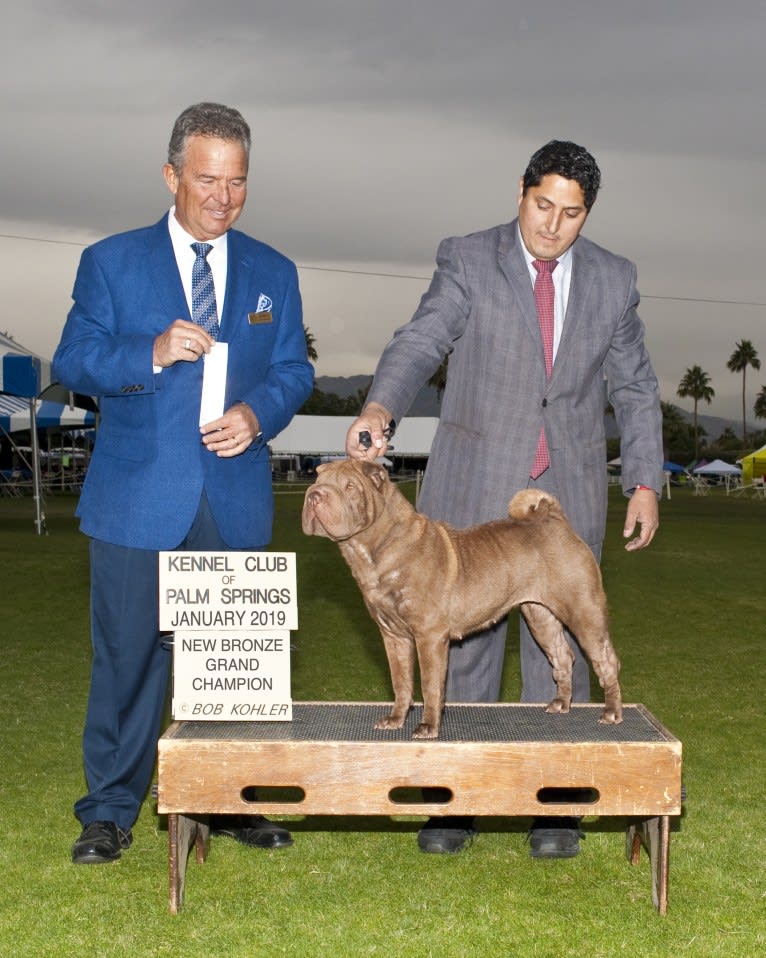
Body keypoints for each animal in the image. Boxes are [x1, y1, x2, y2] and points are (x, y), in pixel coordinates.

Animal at [302, 462, 624, 740]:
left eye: (350, 486)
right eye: (317, 479)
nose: (315, 495)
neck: (377, 549)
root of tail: (555, 519)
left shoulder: (429, 636)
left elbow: (430, 684)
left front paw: (428, 727)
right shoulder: (393, 636)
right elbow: (400, 681)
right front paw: (395, 720)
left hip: (583, 611)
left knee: (606, 659)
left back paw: (611, 713)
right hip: (540, 615)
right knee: (562, 655)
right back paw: (561, 703)